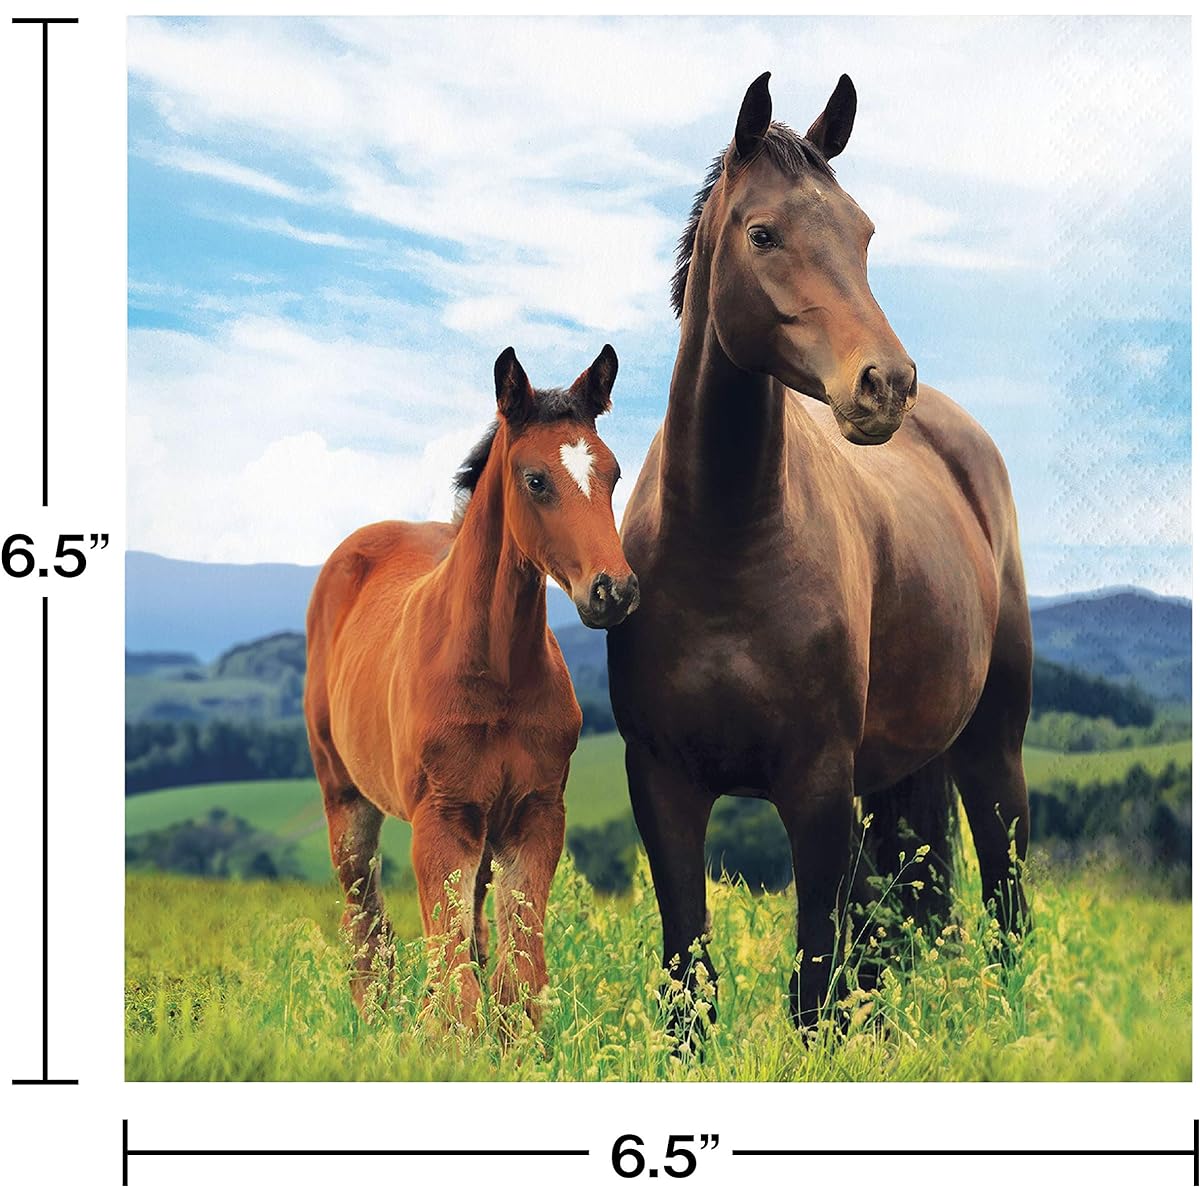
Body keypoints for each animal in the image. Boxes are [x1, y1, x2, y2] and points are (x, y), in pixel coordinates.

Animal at [305, 345, 638, 1028]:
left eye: (614, 474)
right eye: (535, 480)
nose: (612, 591)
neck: (497, 672)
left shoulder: (535, 814)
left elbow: (519, 978)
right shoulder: (441, 818)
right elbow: (454, 978)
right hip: (345, 797)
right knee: (366, 927)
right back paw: (372, 1022)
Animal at [606, 72, 1031, 1030]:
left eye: (863, 233)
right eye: (763, 234)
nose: (886, 384)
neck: (727, 544)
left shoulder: (818, 786)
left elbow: (815, 987)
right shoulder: (663, 785)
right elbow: (691, 989)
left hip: (993, 750)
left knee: (1007, 911)